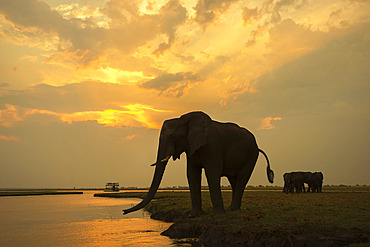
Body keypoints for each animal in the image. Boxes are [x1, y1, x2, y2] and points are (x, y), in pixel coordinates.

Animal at [123, 111, 274, 216]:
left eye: (172, 136)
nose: (124, 211)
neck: (184, 119)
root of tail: (257, 145)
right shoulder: (191, 147)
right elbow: (192, 174)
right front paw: (193, 215)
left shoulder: (213, 146)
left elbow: (212, 172)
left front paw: (216, 215)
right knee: (234, 180)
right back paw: (233, 210)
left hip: (252, 155)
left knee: (242, 178)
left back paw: (231, 210)